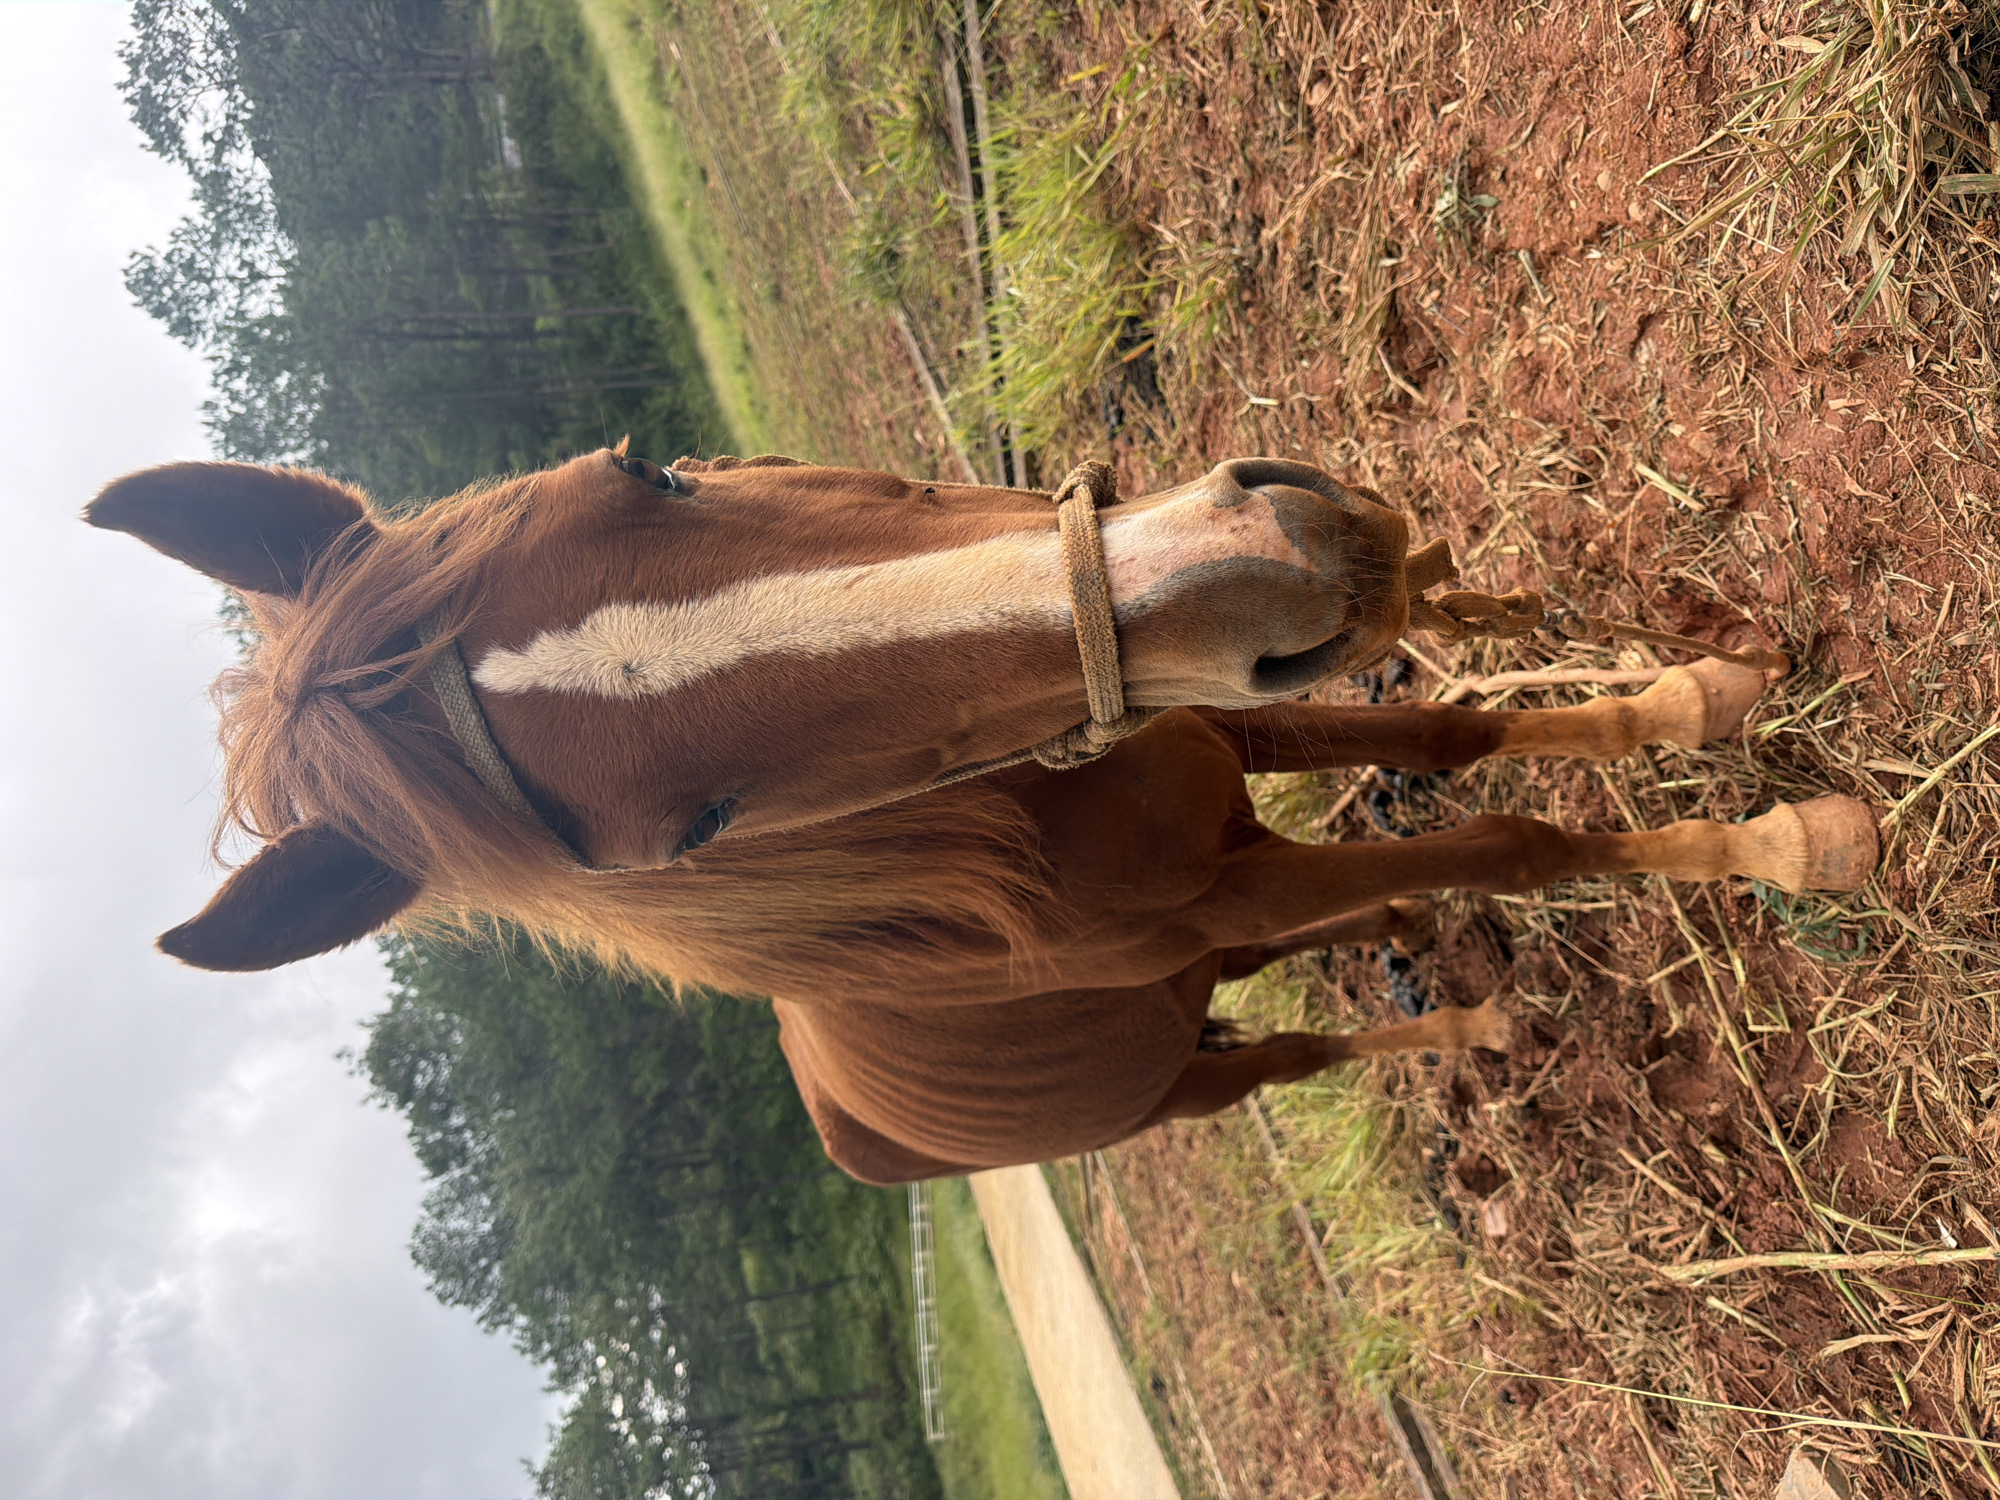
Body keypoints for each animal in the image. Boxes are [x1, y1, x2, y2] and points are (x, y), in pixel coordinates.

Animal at [86, 448, 1876, 1183]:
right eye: (696, 833)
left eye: (649, 469)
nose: (1272, 566)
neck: (1021, 822)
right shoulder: (1221, 889)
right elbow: (1511, 832)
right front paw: (1790, 841)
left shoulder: (1213, 725)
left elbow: (1450, 726)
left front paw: (1707, 695)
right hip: (1177, 1081)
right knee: (1297, 1047)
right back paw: (1476, 1021)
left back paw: (1405, 927)